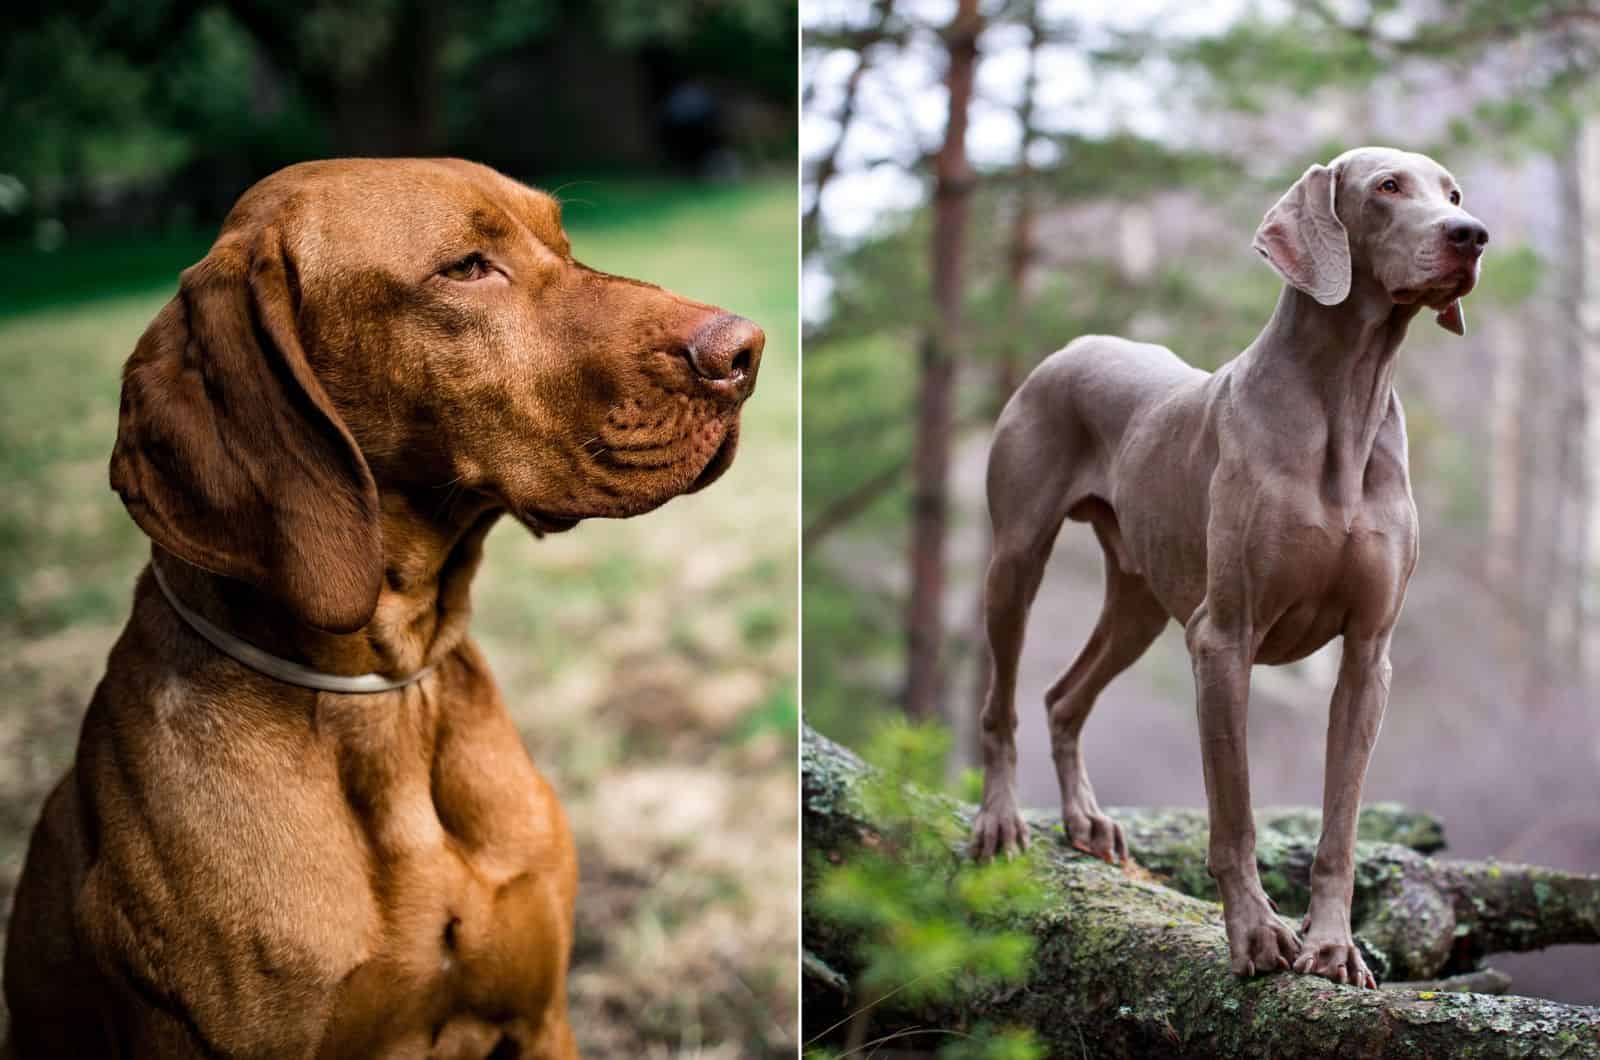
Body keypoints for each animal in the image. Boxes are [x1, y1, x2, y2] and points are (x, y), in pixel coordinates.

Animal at [972, 147, 1484, 986]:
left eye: (1453, 191)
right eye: (1386, 187)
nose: (1471, 234)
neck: (1346, 400)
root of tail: (1074, 346)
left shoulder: (1367, 657)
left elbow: (1340, 826)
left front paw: (1332, 946)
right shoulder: (1223, 639)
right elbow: (1234, 816)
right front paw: (1255, 936)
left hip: (1140, 602)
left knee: (1062, 696)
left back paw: (1086, 821)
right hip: (1015, 561)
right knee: (1003, 703)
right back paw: (1000, 820)